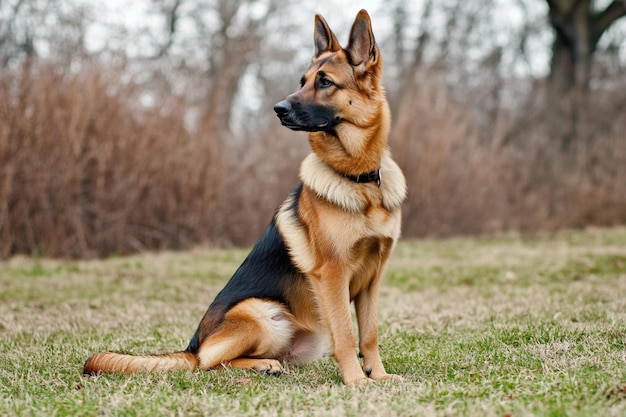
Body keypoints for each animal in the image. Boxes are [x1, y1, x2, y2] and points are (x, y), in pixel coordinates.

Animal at [83, 9, 404, 386]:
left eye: (325, 82)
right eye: (302, 81)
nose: (278, 108)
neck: (360, 179)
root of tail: (191, 345)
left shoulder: (372, 280)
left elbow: (369, 334)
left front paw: (378, 375)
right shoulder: (333, 276)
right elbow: (346, 334)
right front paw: (356, 381)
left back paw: (268, 363)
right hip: (261, 311)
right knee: (207, 363)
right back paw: (257, 366)